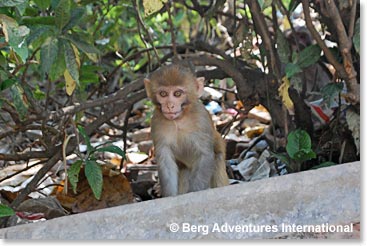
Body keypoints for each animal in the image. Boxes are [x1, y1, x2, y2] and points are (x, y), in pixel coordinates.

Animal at [144, 64, 229, 197]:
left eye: (177, 93)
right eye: (163, 94)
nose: (169, 105)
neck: (179, 120)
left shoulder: (201, 119)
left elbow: (205, 154)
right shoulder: (157, 122)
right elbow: (165, 159)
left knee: (218, 160)